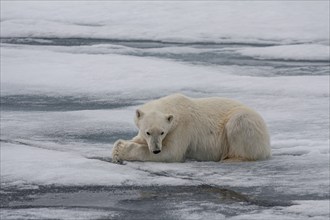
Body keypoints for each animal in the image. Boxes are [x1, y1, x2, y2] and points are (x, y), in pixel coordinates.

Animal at [111, 93, 270, 163]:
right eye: (148, 132)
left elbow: (171, 152)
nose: (156, 150)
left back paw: (229, 158)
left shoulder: (182, 129)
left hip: (245, 123)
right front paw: (120, 145)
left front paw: (121, 150)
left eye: (162, 132)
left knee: (239, 123)